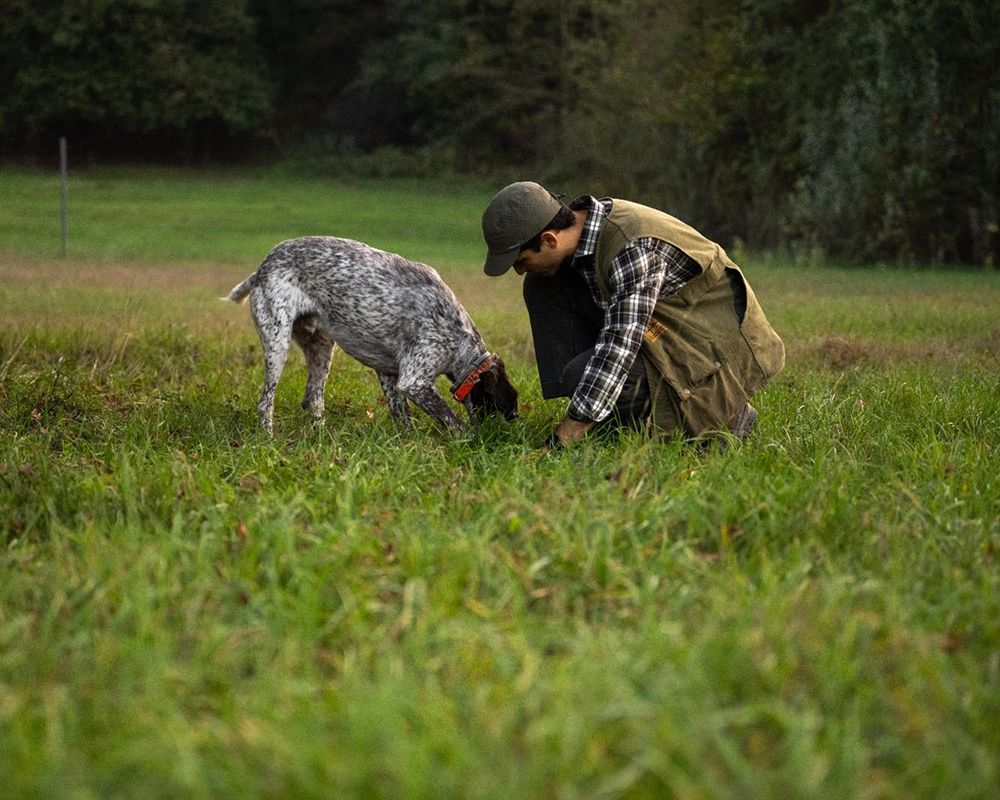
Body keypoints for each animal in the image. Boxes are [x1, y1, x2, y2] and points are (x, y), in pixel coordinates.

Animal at [226, 234, 520, 434]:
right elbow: (453, 421)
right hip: (277, 344)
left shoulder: (390, 375)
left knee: (313, 398)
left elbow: (404, 418)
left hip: (322, 349)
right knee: (266, 402)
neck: (459, 339)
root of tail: (263, 267)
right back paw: (268, 438)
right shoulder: (414, 381)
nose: (514, 418)